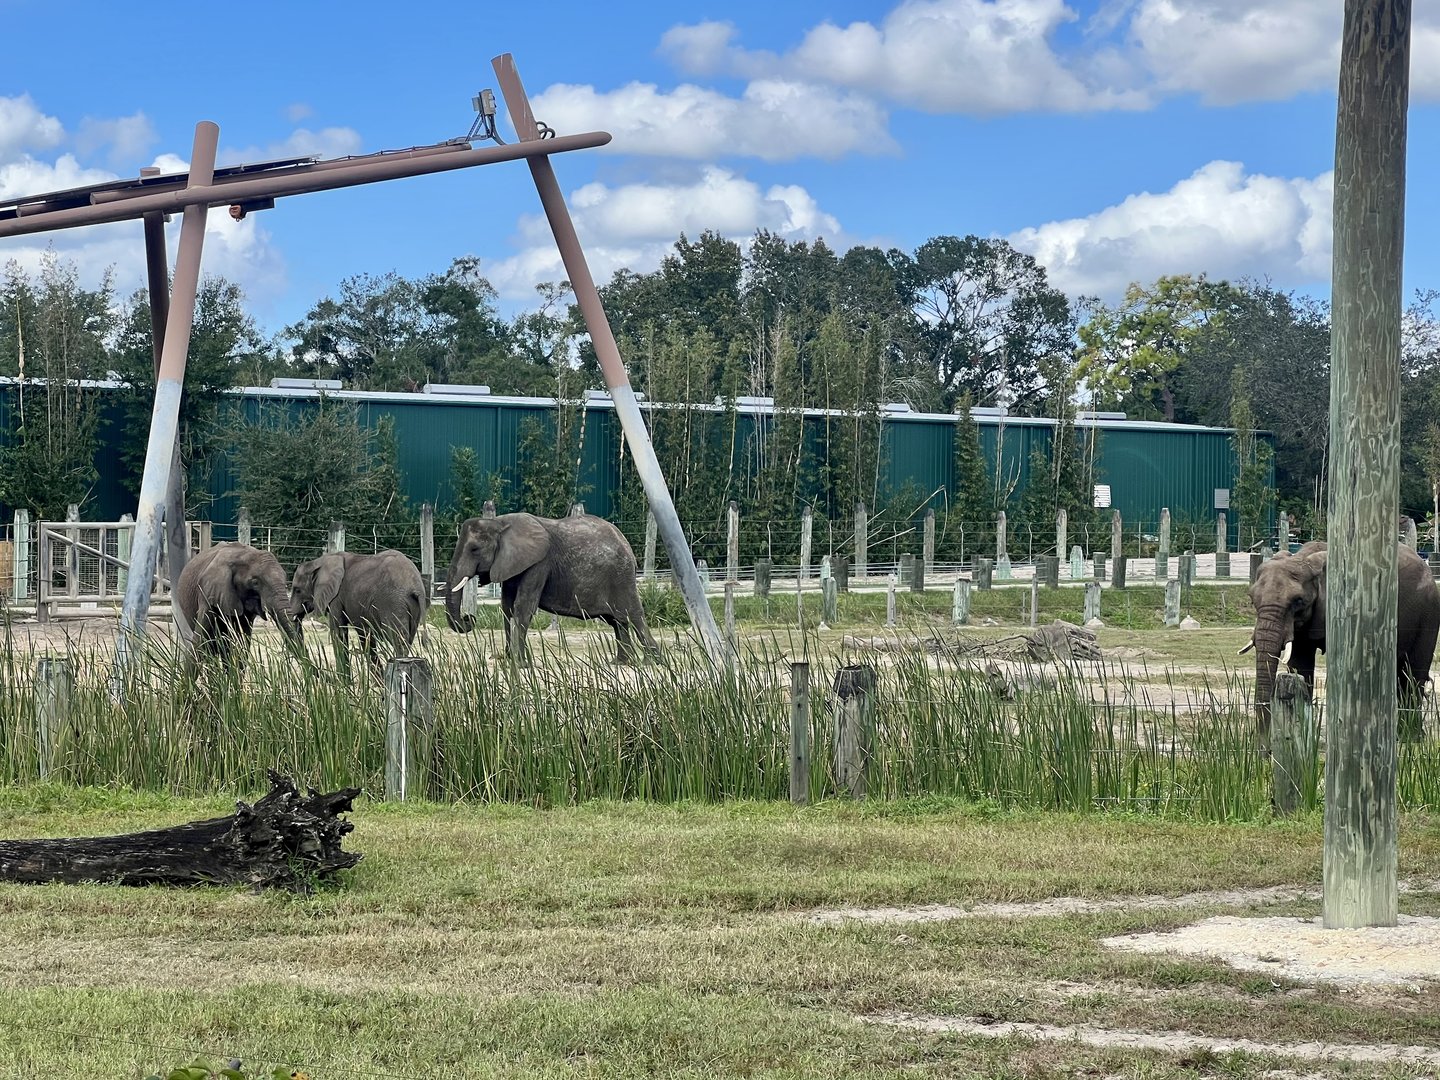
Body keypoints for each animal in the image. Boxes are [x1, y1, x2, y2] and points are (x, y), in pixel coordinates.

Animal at [288, 550, 427, 676]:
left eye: (297, 590)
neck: (318, 562)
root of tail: (416, 587)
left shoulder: (336, 597)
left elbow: (338, 632)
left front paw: (344, 684)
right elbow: (365, 636)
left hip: (393, 602)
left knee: (399, 640)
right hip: (411, 607)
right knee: (407, 639)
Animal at [444, 512, 658, 664]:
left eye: (474, 549)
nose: (469, 618)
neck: (498, 523)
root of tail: (626, 543)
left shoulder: (539, 563)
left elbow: (523, 607)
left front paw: (519, 664)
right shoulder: (511, 564)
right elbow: (507, 607)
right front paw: (508, 660)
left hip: (622, 577)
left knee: (633, 615)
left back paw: (651, 661)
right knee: (617, 620)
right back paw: (620, 663)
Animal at [1243, 540, 1440, 740]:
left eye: (1298, 601)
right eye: (1252, 599)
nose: (1263, 744)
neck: (1305, 559)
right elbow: (1300, 664)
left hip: (1429, 613)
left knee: (1414, 672)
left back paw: (1411, 737)